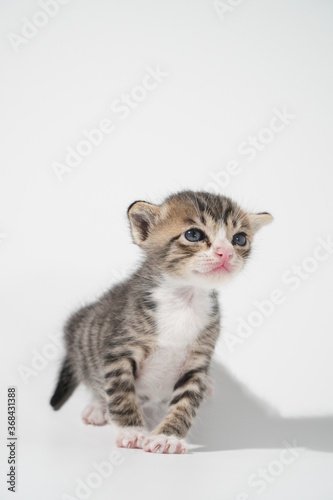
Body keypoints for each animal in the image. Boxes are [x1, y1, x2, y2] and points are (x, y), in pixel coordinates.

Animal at [50, 190, 272, 454]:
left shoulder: (197, 361)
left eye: (239, 239)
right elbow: (120, 394)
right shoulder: (119, 352)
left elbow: (186, 402)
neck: (184, 300)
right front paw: (132, 431)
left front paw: (168, 437)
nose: (225, 252)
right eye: (194, 235)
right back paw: (97, 408)